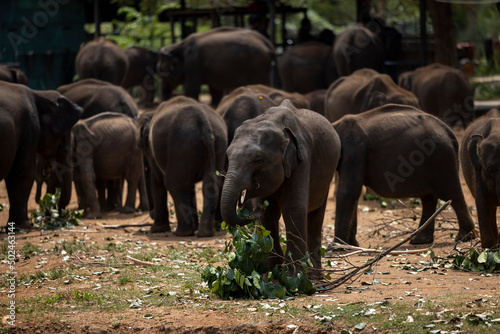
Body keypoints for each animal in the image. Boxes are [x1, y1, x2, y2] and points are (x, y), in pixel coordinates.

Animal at [0, 82, 82, 231]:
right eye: (63, 137)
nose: (58, 215)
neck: (39, 93)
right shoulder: (30, 130)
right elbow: (23, 173)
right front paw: (25, 226)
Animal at [139, 96, 229, 237]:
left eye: (140, 144)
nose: (151, 214)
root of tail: (204, 123)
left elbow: (158, 181)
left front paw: (156, 230)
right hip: (217, 143)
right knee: (210, 185)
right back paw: (204, 233)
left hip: (181, 145)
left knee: (174, 184)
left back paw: (183, 233)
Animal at [221, 98, 342, 272]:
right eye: (228, 155)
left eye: (258, 159)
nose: (257, 208)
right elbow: (269, 214)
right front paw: (272, 272)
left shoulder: (302, 159)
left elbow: (293, 209)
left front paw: (294, 276)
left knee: (316, 215)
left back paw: (314, 274)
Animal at [332, 103, 476, 247]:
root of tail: (448, 130)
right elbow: (353, 192)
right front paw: (352, 245)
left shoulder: (354, 150)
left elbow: (348, 191)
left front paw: (338, 246)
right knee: (429, 198)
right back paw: (420, 240)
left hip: (442, 158)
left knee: (452, 194)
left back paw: (465, 237)